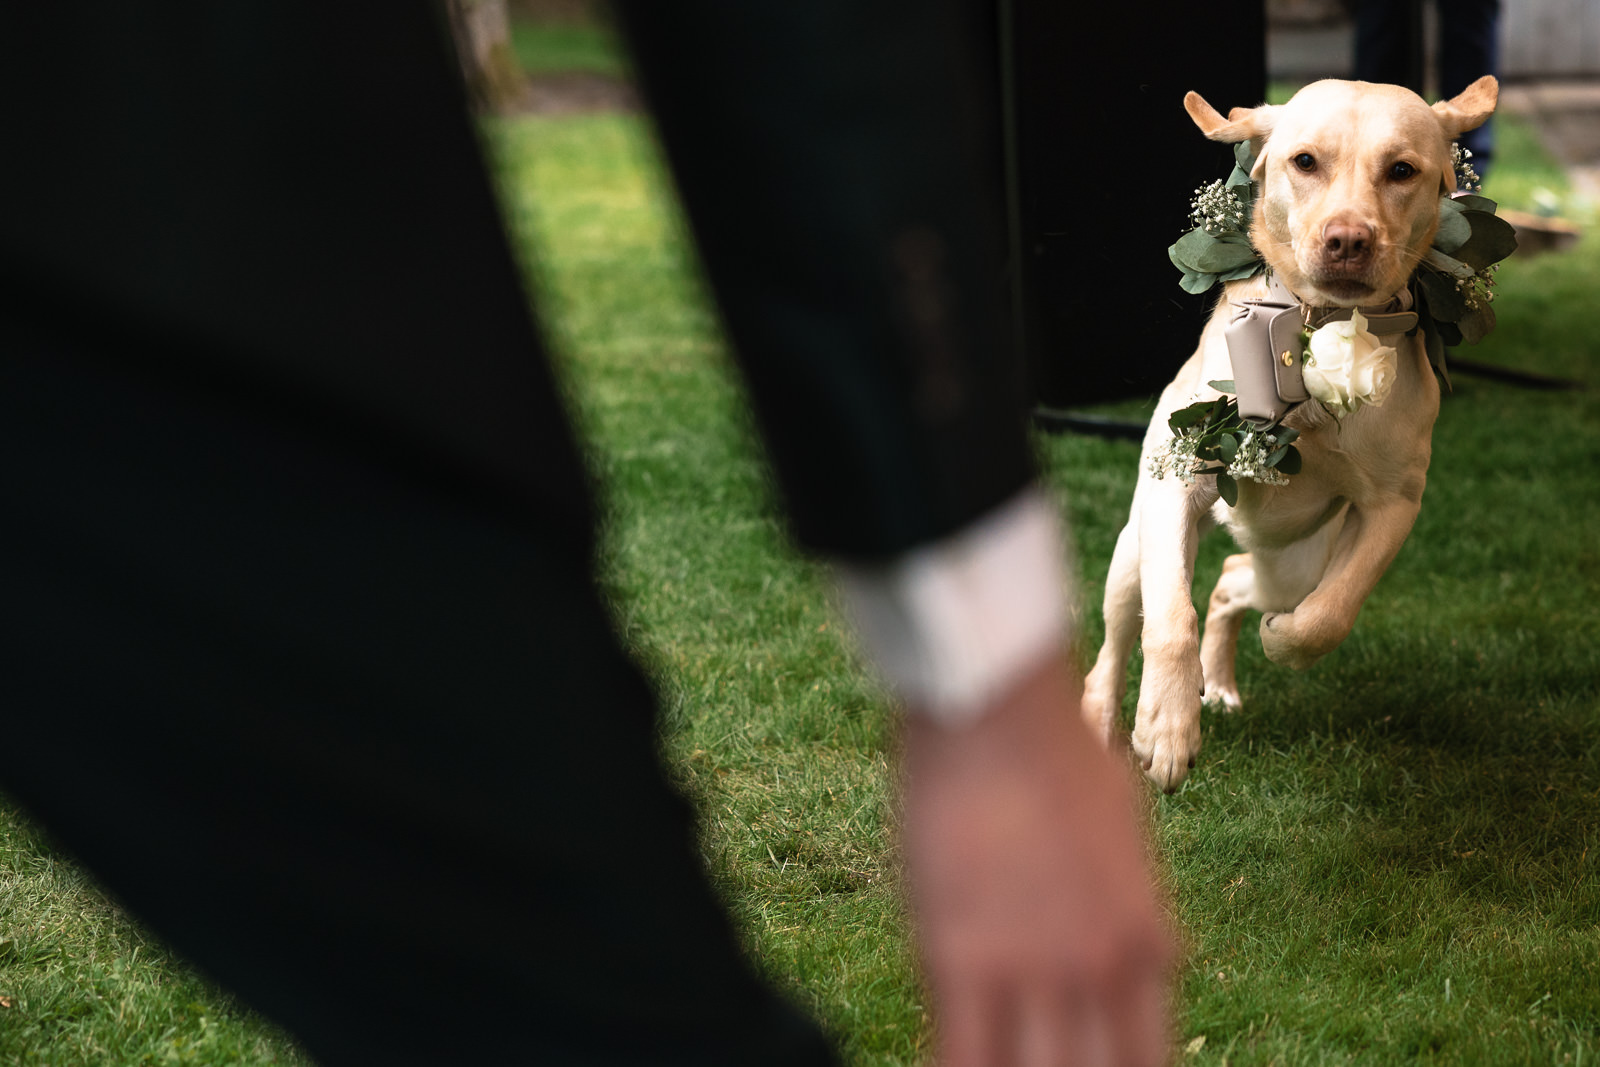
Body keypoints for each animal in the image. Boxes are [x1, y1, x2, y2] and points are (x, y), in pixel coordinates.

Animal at [1081, 77, 1504, 793]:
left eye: (1402, 171)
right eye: (1304, 162)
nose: (1348, 239)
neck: (1311, 333)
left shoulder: (1394, 506)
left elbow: (1328, 618)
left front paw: (1280, 642)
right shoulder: (1176, 484)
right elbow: (1170, 619)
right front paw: (1166, 727)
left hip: (1293, 564)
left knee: (1233, 580)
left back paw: (1223, 679)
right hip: (1131, 553)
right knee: (1115, 644)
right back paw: (1106, 718)